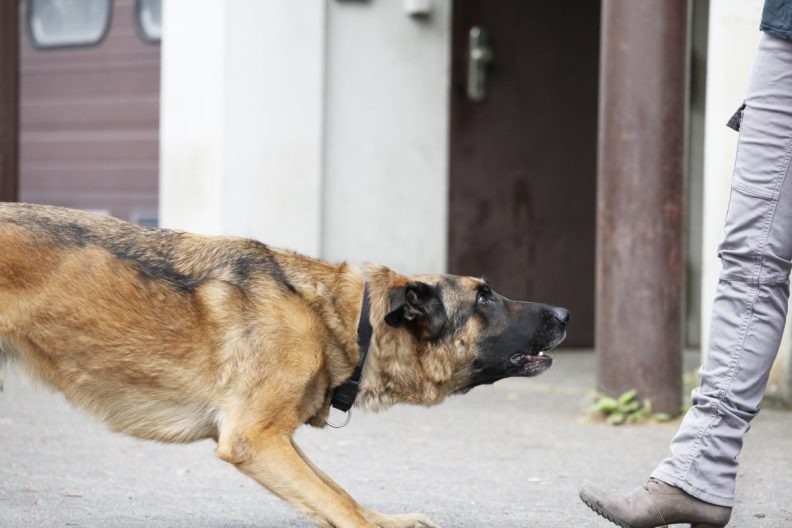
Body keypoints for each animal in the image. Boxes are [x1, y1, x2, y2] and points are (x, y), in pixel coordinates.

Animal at [0, 203, 568, 528]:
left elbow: (340, 493)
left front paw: (388, 519)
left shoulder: (277, 440)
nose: (565, 314)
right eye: (484, 297)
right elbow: (339, 506)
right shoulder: (255, 439)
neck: (342, 319)